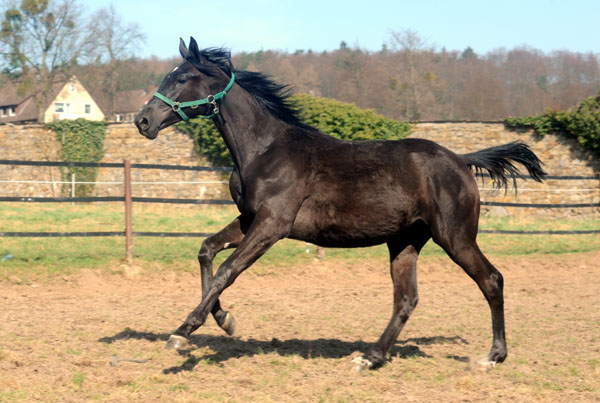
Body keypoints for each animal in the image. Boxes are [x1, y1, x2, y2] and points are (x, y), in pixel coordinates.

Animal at [135, 38, 544, 372]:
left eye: (183, 78)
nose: (143, 120)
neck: (265, 150)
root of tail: (461, 160)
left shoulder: (273, 224)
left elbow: (227, 270)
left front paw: (183, 330)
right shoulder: (250, 219)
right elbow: (207, 251)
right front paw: (224, 319)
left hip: (455, 236)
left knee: (491, 280)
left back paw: (493, 356)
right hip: (405, 242)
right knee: (406, 299)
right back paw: (371, 357)